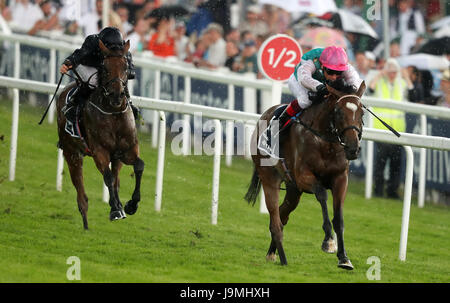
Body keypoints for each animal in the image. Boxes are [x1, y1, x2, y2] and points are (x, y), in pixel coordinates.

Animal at [55, 40, 144, 230]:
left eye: (126, 66)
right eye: (104, 67)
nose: (117, 94)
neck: (113, 113)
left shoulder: (127, 150)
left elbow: (139, 166)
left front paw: (131, 205)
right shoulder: (99, 151)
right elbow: (107, 177)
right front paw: (115, 210)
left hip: (116, 158)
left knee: (116, 178)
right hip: (71, 152)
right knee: (81, 189)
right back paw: (86, 221)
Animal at [246, 82, 366, 270]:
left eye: (362, 112)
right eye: (339, 112)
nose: (353, 148)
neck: (325, 142)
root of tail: (263, 116)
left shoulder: (340, 179)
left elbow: (339, 218)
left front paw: (344, 258)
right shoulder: (304, 177)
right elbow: (322, 194)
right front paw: (328, 241)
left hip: (293, 190)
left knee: (282, 215)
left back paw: (272, 253)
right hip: (269, 177)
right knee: (275, 220)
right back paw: (283, 258)